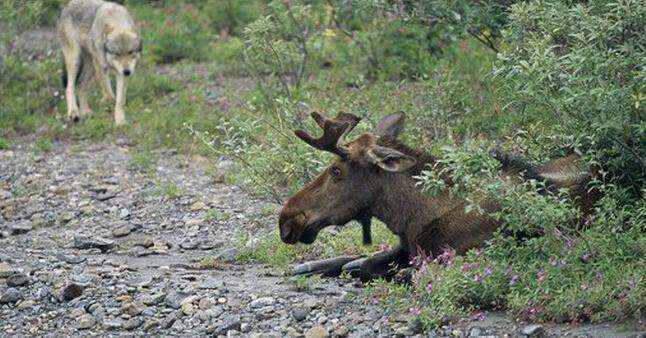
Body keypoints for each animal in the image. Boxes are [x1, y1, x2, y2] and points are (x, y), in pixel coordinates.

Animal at [280, 112, 600, 278]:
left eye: (335, 170)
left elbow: (386, 270)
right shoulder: (407, 246)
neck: (408, 215)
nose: (286, 218)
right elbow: (362, 262)